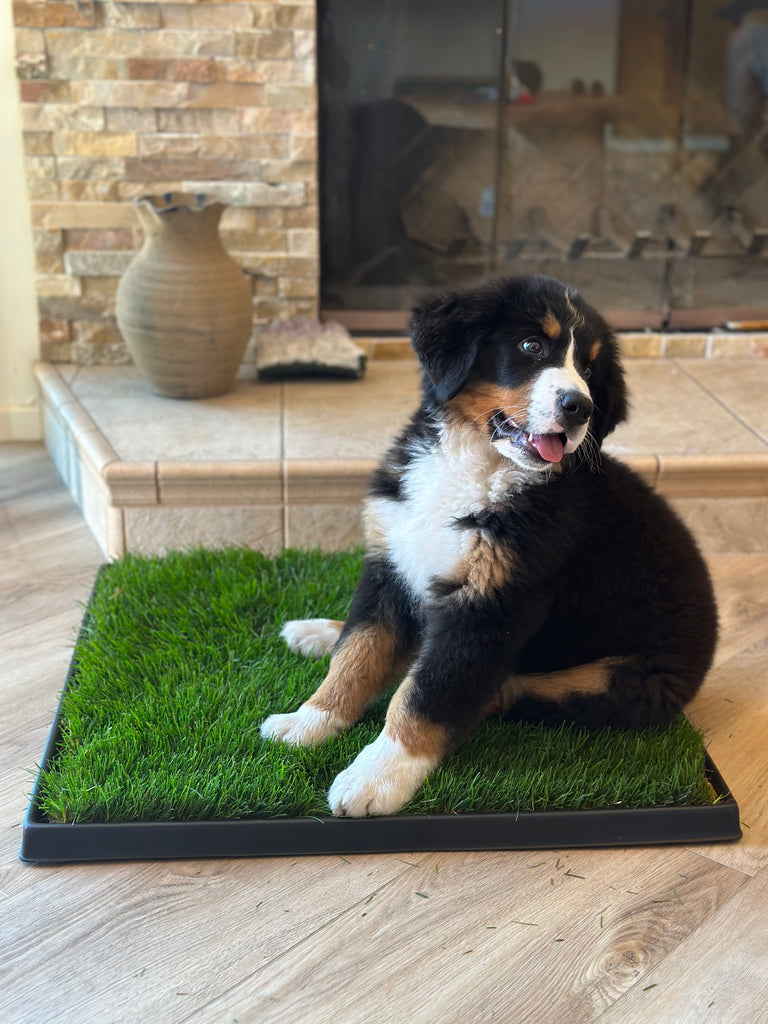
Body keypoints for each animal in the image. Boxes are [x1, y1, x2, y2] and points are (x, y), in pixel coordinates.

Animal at [262, 276, 720, 819]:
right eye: (532, 346)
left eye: (589, 371)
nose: (581, 407)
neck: (472, 462)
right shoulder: (390, 563)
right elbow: (357, 653)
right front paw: (310, 720)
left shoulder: (491, 604)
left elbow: (427, 692)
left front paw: (378, 774)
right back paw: (317, 632)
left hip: (626, 678)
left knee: (506, 688)